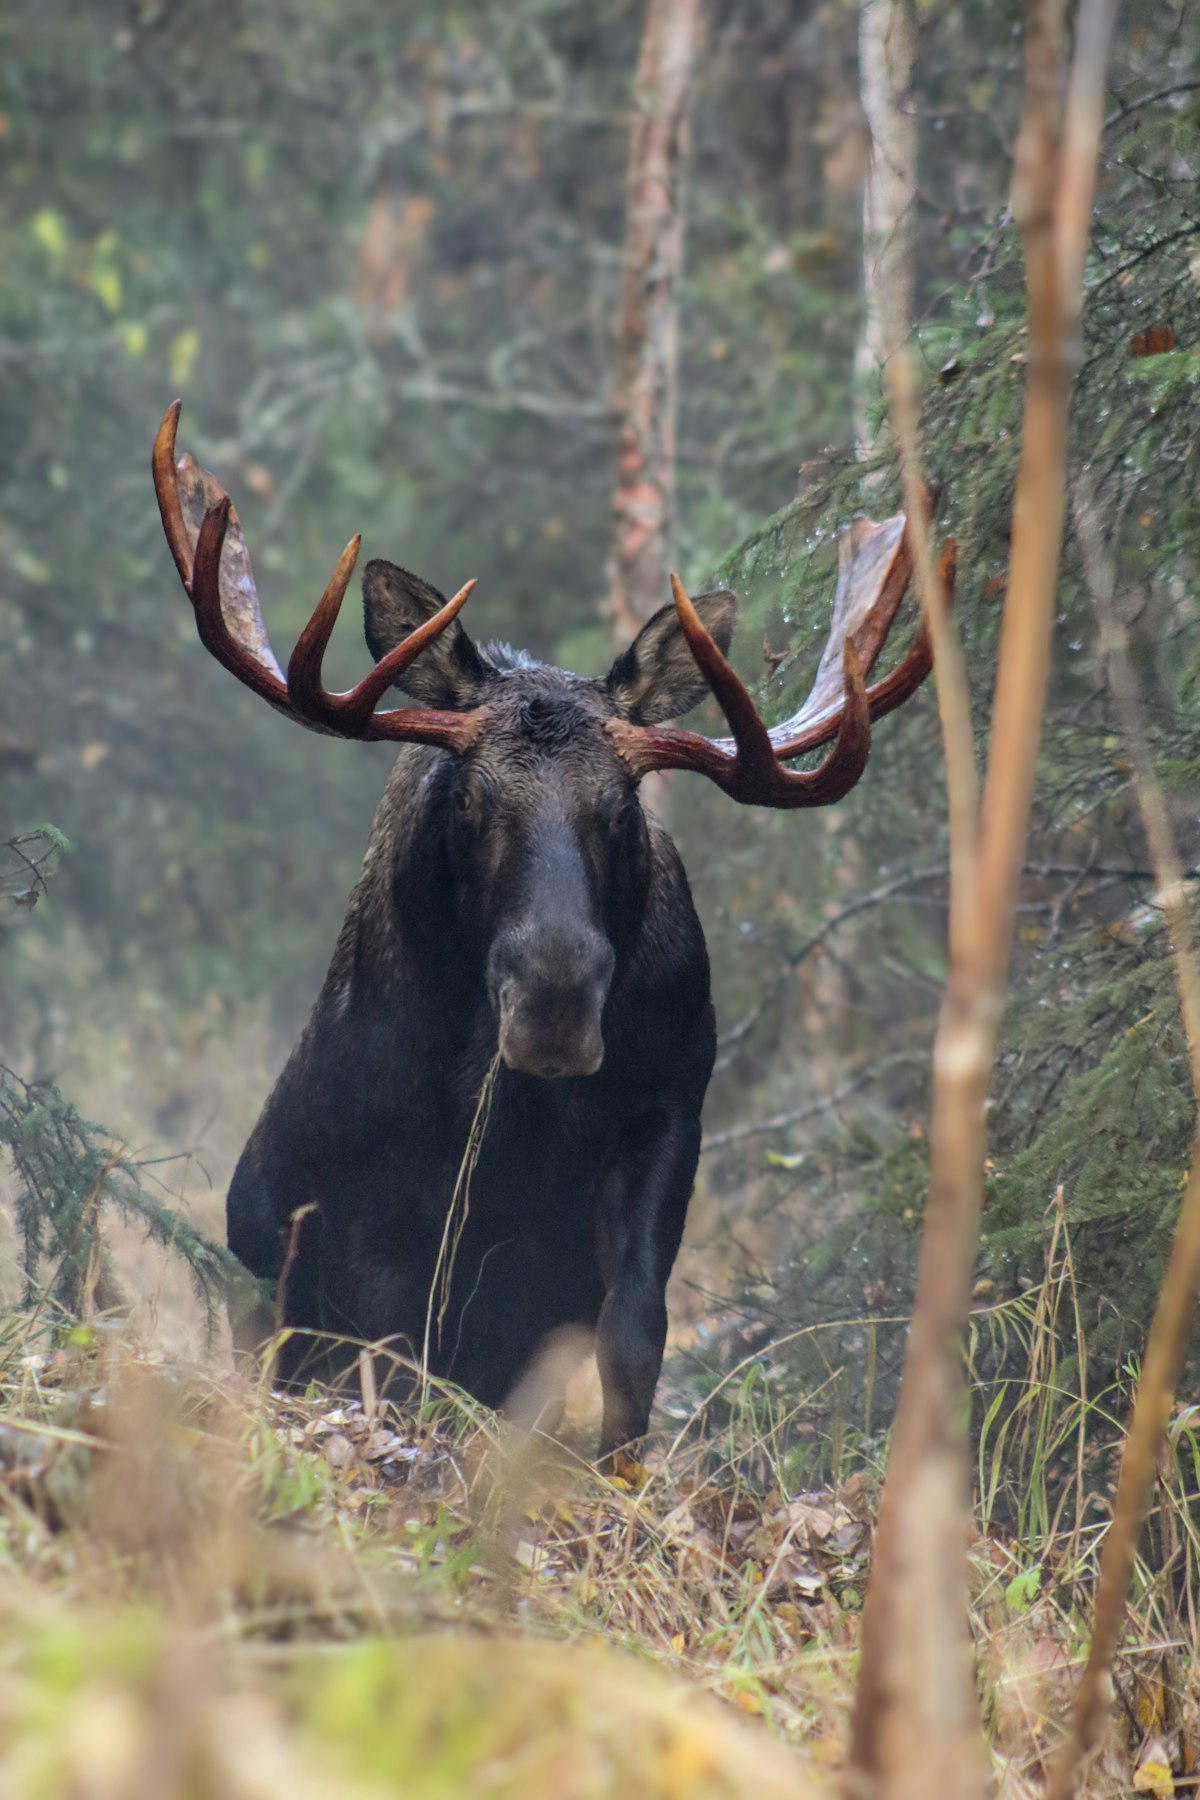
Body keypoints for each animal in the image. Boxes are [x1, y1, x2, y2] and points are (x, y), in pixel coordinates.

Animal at [152, 401, 950, 1468]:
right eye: (472, 800)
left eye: (621, 806)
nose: (555, 1005)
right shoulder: (361, 1180)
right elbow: (391, 1355)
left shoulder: (666, 1115)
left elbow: (635, 1334)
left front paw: (619, 1474)